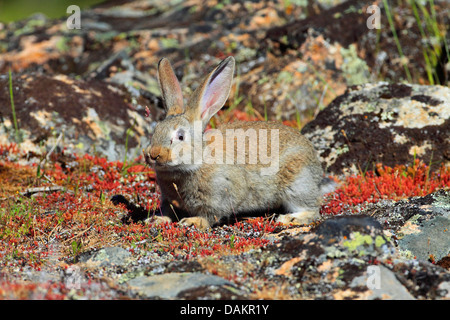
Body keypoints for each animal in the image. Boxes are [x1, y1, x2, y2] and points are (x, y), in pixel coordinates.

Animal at [144, 57, 326, 230]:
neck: (197, 161)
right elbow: (168, 210)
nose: (153, 154)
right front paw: (155, 220)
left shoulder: (220, 194)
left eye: (180, 136)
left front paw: (192, 222)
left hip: (297, 183)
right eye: (155, 130)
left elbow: (210, 215)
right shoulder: (169, 199)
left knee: (312, 209)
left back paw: (290, 218)